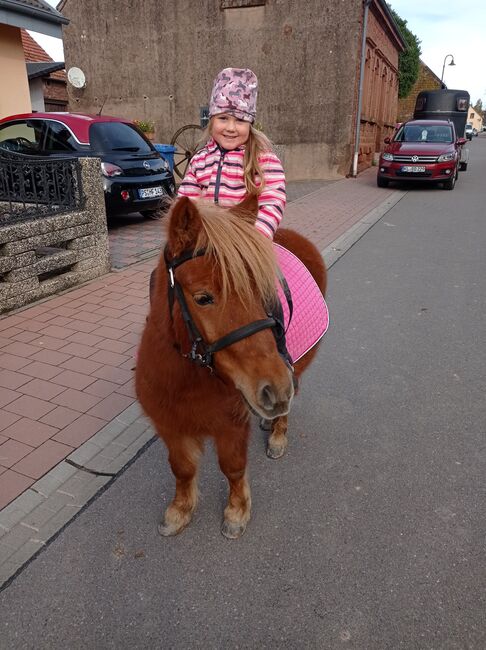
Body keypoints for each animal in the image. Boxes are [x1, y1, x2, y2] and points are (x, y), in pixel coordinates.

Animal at [136, 196, 326, 536]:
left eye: (263, 292)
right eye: (203, 298)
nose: (275, 388)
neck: (186, 379)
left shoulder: (231, 425)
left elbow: (233, 468)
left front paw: (237, 512)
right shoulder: (168, 425)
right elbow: (181, 468)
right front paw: (179, 511)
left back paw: (277, 434)